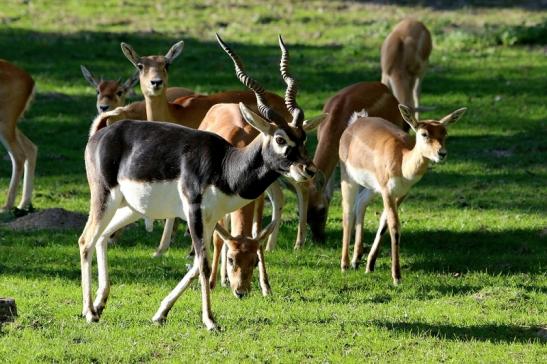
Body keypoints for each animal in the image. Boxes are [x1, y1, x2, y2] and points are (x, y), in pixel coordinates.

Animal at [338, 104, 466, 284]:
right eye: (424, 133)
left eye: (444, 132)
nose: (441, 153)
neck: (402, 162)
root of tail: (356, 121)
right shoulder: (387, 191)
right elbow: (394, 226)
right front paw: (397, 277)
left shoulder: (402, 193)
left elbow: (384, 223)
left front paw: (370, 266)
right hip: (348, 177)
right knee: (347, 211)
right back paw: (345, 265)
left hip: (372, 187)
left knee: (361, 203)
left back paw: (357, 260)